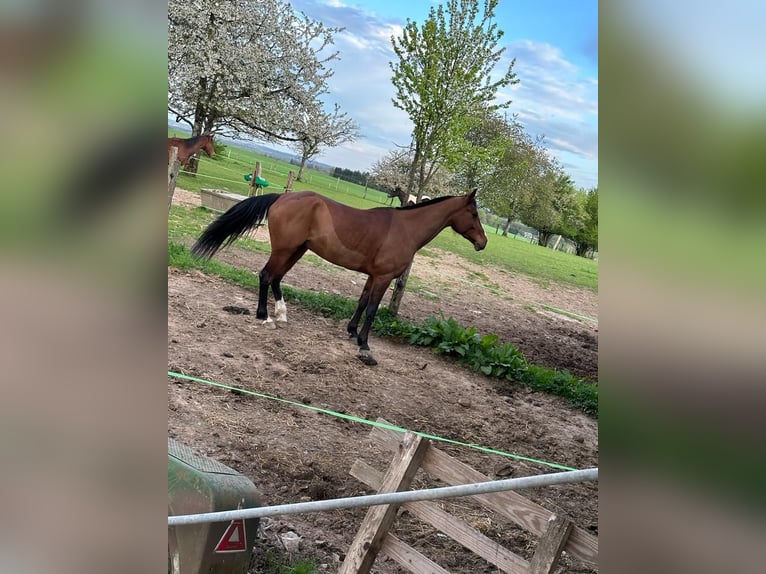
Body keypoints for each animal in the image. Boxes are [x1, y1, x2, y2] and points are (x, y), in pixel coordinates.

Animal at [195, 191, 488, 366]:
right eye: (473, 214)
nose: (483, 243)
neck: (406, 228)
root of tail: (284, 197)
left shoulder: (373, 276)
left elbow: (361, 302)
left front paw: (351, 331)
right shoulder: (383, 277)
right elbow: (372, 310)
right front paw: (364, 345)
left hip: (297, 250)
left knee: (276, 278)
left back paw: (281, 314)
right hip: (284, 250)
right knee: (266, 275)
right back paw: (264, 316)